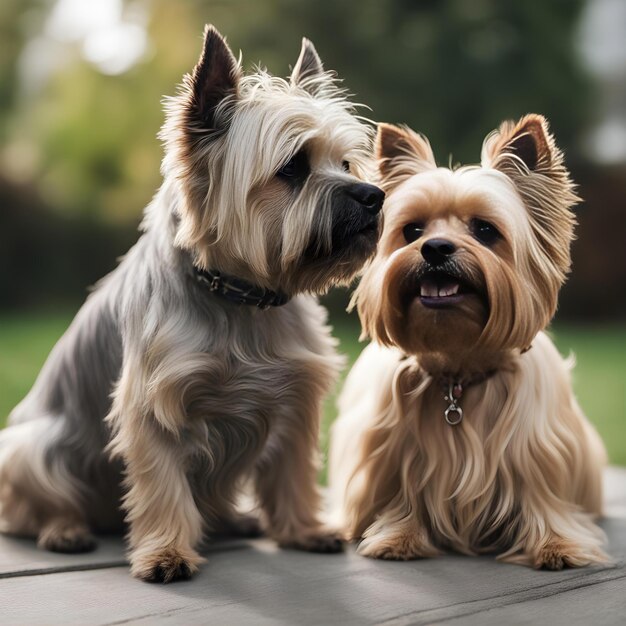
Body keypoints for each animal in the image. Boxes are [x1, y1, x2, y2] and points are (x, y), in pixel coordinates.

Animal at [0, 24, 382, 580]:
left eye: (346, 162)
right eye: (293, 167)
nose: (373, 196)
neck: (241, 294)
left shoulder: (295, 399)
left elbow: (292, 471)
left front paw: (304, 529)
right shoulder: (154, 405)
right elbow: (162, 484)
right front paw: (166, 553)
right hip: (31, 450)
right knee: (37, 505)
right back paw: (64, 530)